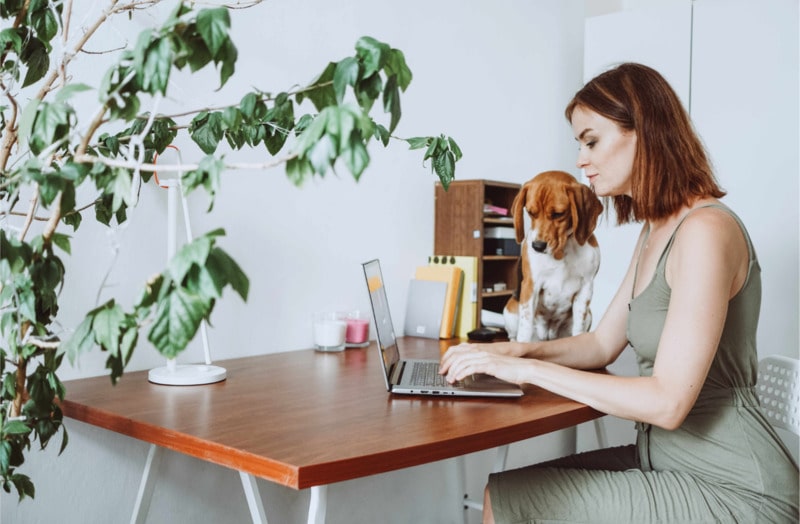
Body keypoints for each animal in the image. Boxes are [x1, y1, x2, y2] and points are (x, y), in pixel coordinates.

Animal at [504, 171, 604, 344]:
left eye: (558, 214)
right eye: (530, 212)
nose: (537, 246)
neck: (561, 250)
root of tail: (547, 336)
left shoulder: (586, 287)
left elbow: (579, 327)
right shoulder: (531, 286)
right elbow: (525, 326)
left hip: (589, 315)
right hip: (510, 309)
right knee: (514, 336)